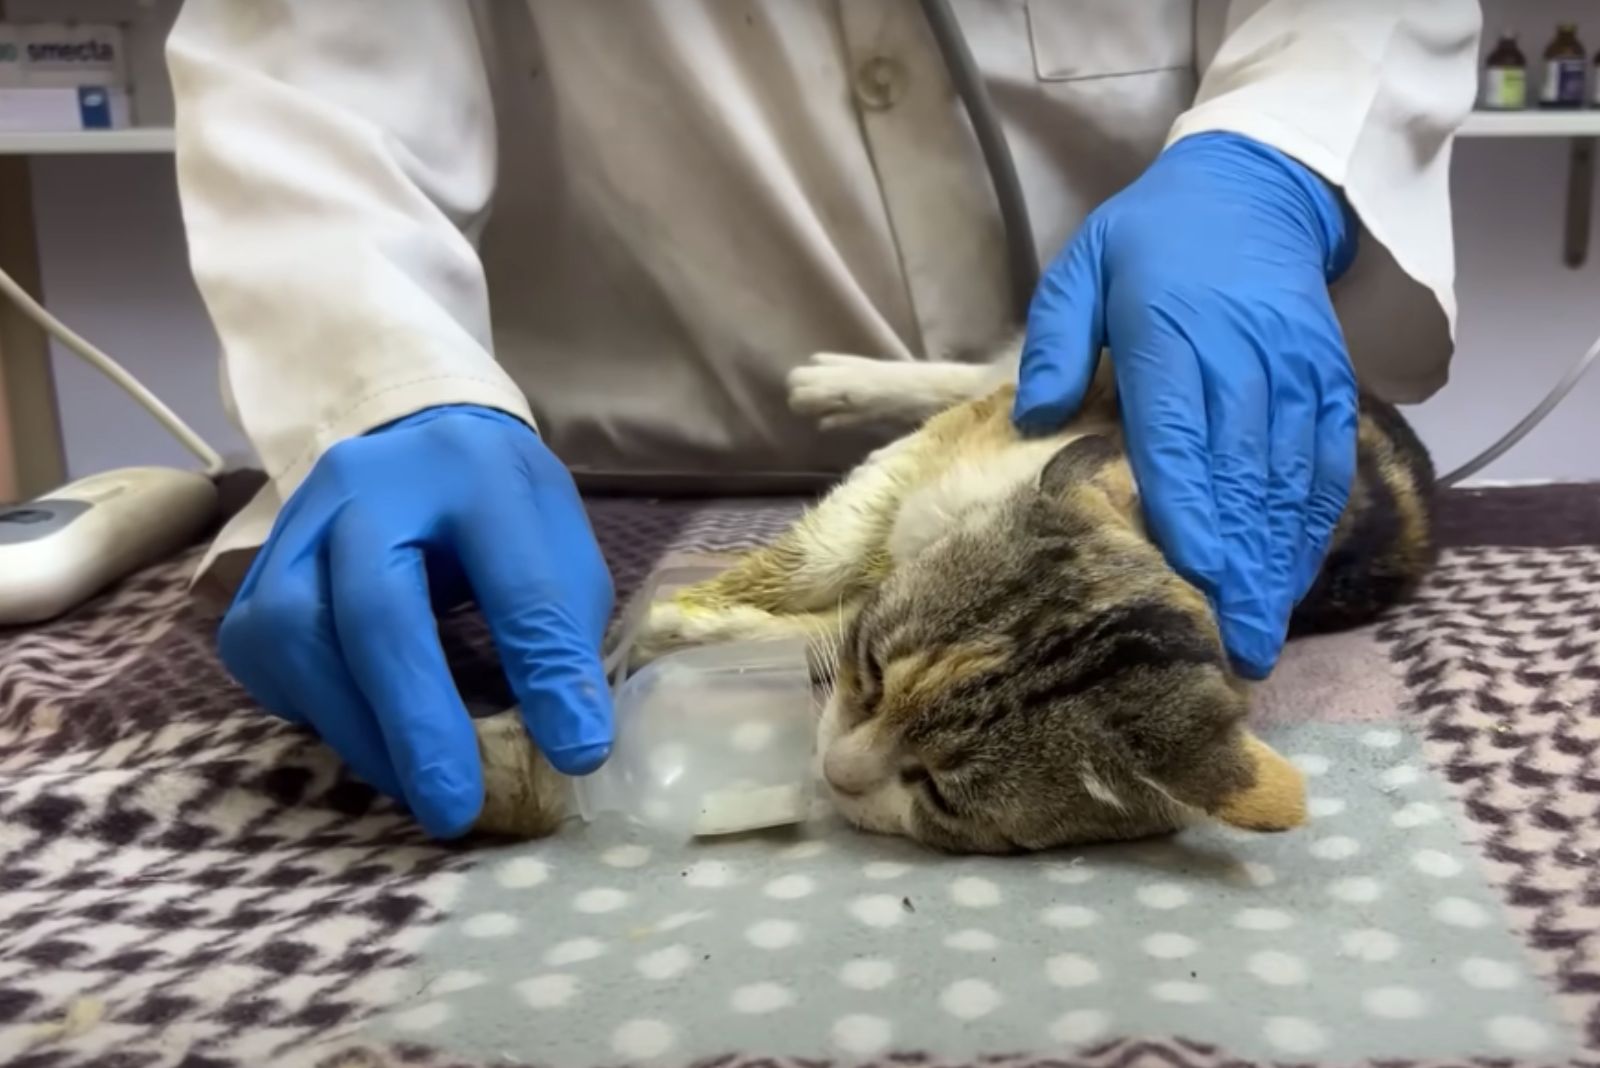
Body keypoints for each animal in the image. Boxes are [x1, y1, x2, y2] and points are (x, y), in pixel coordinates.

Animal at [467, 337, 1440, 856]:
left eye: (940, 794)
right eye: (876, 676)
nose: (836, 776)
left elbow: (821, 621)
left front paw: (698, 632)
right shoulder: (915, 471)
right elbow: (825, 552)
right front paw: (679, 612)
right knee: (978, 372)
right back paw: (837, 380)